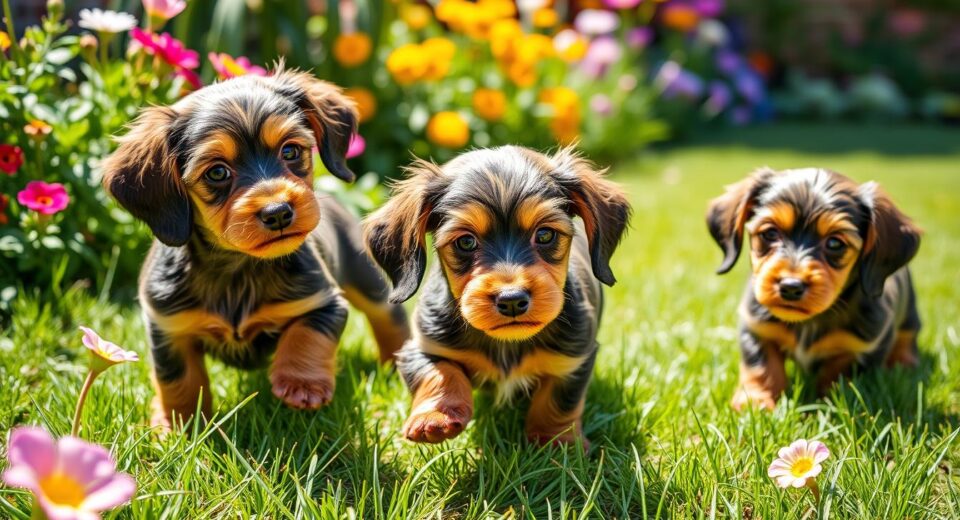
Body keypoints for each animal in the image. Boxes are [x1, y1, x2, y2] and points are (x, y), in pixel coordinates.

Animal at [101, 69, 408, 430]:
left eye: (290, 151)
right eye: (217, 172)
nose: (278, 212)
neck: (238, 267)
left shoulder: (323, 302)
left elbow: (307, 337)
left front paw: (301, 385)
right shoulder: (167, 327)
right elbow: (178, 380)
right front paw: (178, 424)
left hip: (366, 278)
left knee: (389, 320)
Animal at [362, 146, 632, 446]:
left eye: (545, 234)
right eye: (465, 241)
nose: (512, 300)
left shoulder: (573, 358)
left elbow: (558, 401)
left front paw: (557, 441)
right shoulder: (420, 347)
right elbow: (440, 373)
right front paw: (435, 417)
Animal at [704, 168, 924, 410]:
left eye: (835, 243)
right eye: (770, 233)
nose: (790, 287)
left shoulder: (864, 345)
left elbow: (837, 373)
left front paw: (830, 403)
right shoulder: (756, 327)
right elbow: (762, 367)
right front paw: (755, 403)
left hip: (909, 311)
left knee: (908, 335)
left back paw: (905, 364)